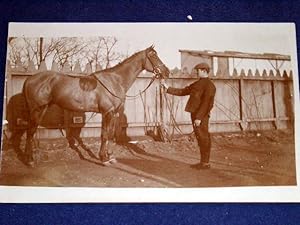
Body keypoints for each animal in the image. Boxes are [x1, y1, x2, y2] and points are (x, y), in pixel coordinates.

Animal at [22, 44, 170, 166]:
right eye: (153, 55)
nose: (167, 72)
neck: (115, 80)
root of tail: (30, 79)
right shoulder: (107, 112)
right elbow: (104, 135)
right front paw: (103, 159)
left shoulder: (112, 113)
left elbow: (109, 134)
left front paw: (109, 156)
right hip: (37, 110)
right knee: (30, 132)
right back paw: (29, 160)